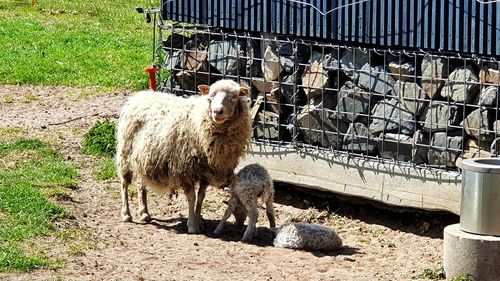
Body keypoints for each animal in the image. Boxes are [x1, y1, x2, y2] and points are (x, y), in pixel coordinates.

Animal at [115, 78, 252, 232]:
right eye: (210, 96)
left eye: (234, 97)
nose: (217, 111)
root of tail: (139, 95)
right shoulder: (185, 170)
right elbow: (192, 197)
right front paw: (192, 225)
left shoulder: (206, 172)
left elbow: (201, 197)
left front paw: (199, 220)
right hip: (125, 154)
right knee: (124, 183)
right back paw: (126, 214)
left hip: (143, 158)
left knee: (141, 184)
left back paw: (144, 213)